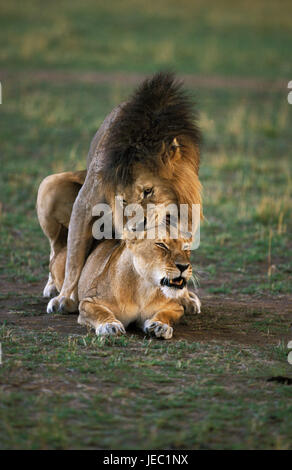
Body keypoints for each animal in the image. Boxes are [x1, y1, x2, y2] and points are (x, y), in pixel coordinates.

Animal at [39, 73, 203, 314]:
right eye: (122, 199)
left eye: (148, 191)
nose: (134, 230)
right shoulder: (85, 202)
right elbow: (74, 258)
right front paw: (65, 298)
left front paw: (182, 297)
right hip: (48, 186)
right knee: (56, 248)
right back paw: (52, 287)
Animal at [50, 237, 201, 340]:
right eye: (161, 245)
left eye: (186, 247)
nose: (183, 266)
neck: (144, 289)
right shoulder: (89, 302)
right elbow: (100, 312)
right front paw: (110, 326)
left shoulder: (175, 307)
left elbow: (165, 314)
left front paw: (160, 326)